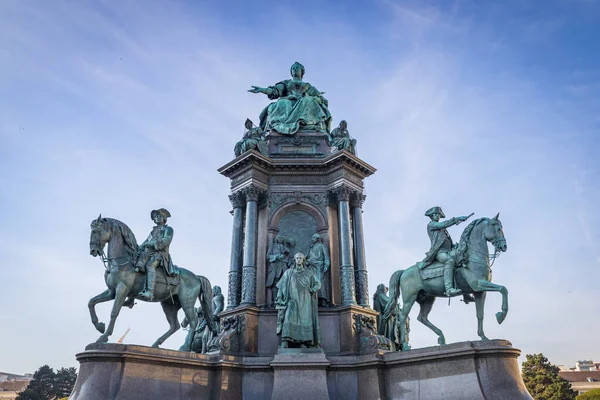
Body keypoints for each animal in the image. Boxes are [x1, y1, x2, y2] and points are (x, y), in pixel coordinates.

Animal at [86, 216, 213, 350]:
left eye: (95, 231)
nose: (93, 250)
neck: (123, 262)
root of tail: (197, 277)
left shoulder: (122, 289)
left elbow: (114, 312)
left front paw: (104, 336)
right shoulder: (112, 292)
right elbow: (91, 302)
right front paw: (99, 326)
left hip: (186, 302)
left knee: (193, 321)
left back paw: (184, 347)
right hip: (169, 304)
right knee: (175, 325)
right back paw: (156, 344)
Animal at [384, 214, 506, 348]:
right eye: (498, 228)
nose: (504, 246)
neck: (471, 256)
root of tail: (404, 271)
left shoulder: (479, 292)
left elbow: (480, 314)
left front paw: (483, 337)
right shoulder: (478, 285)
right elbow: (503, 289)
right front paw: (501, 315)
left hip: (427, 299)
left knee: (422, 318)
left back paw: (441, 338)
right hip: (409, 298)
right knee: (403, 316)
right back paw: (406, 345)